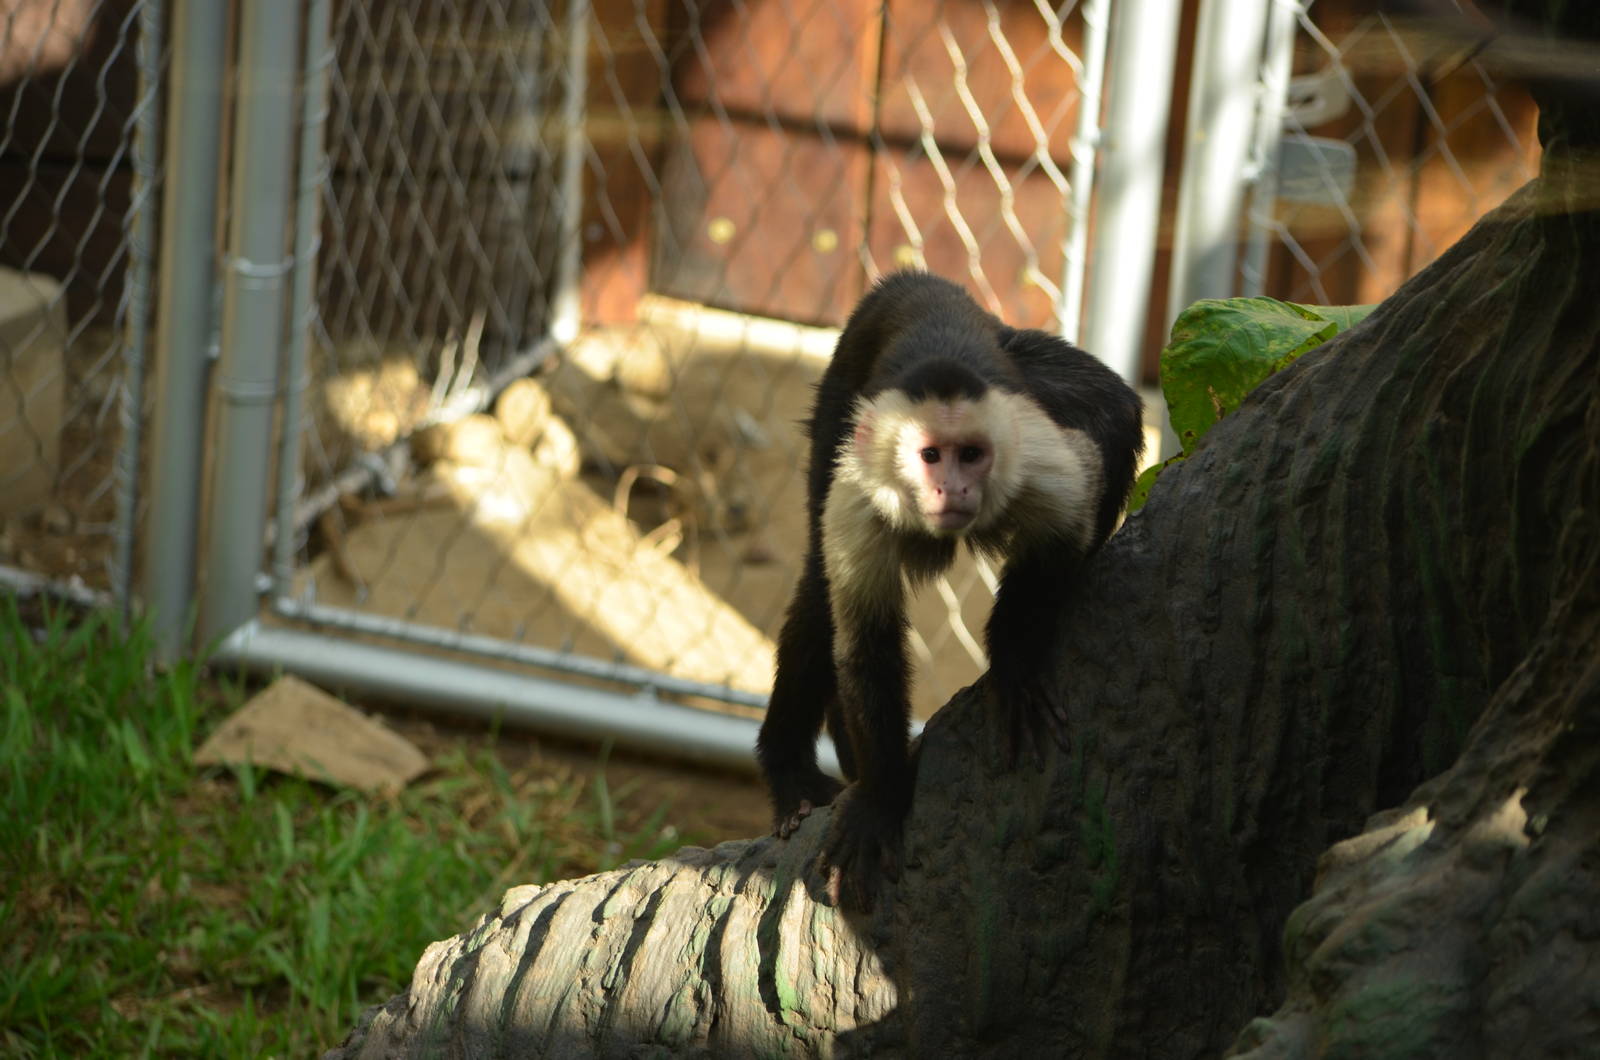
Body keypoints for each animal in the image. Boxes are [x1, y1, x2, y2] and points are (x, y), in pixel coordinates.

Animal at [755, 270, 1145, 911]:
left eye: (971, 455)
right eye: (930, 455)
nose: (953, 489)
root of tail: (916, 279)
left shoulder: (1035, 455)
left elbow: (1066, 529)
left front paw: (1013, 664)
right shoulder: (858, 493)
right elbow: (866, 644)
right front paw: (882, 798)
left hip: (1020, 355)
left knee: (1113, 409)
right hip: (842, 395)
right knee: (817, 585)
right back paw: (791, 776)